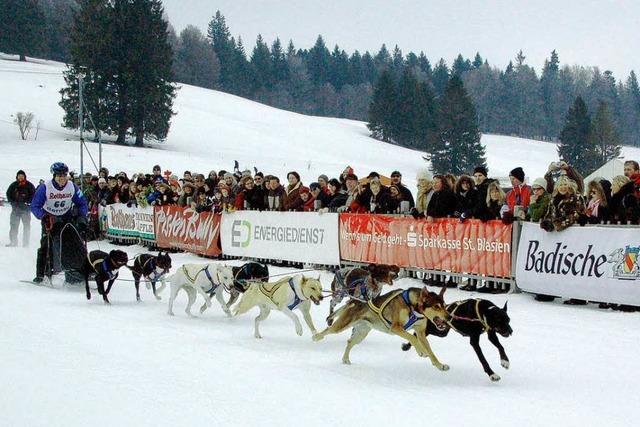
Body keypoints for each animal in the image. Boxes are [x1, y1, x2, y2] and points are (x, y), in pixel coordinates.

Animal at [316, 288, 450, 372]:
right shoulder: (396, 327)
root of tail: (353, 301)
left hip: (361, 333)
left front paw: (440, 365)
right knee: (327, 330)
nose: (449, 317)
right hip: (341, 325)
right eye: (436, 306)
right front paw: (421, 351)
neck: (413, 306)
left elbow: (431, 352)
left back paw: (345, 359)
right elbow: (412, 338)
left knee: (349, 342)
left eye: (444, 305)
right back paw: (316, 337)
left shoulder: (421, 333)